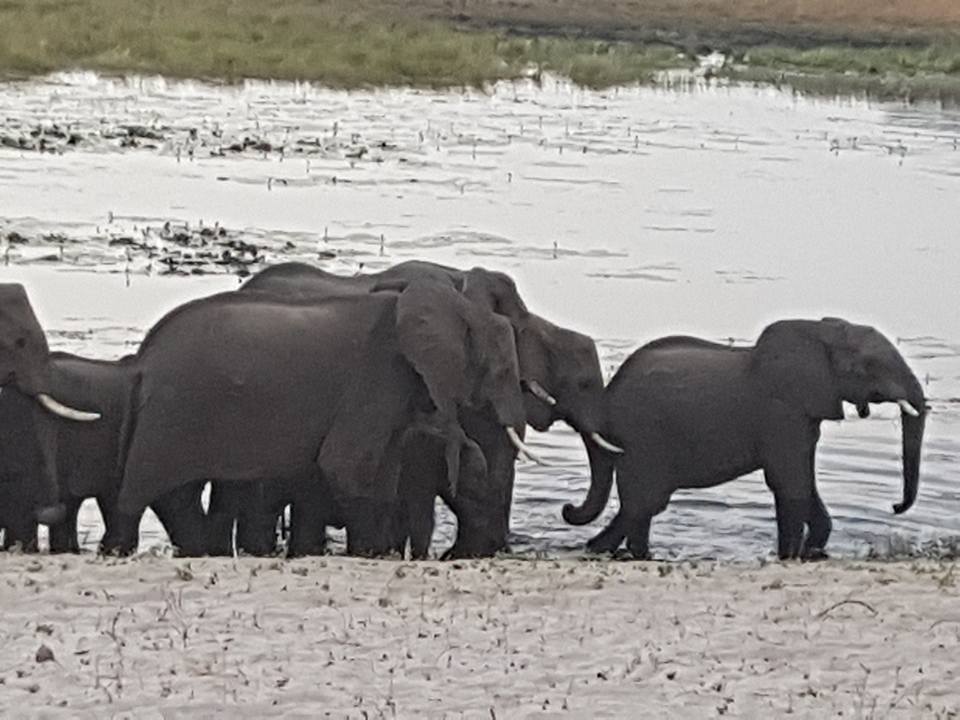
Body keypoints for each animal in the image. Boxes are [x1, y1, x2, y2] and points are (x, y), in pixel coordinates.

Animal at [114, 278, 532, 557]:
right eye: (503, 372)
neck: (457, 306)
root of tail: (143, 360)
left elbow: (383, 475)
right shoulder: (378, 374)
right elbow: (346, 467)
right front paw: (370, 554)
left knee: (176, 498)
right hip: (171, 413)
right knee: (138, 498)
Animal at [562, 318, 927, 561]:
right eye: (871, 365)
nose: (895, 507)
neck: (820, 331)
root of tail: (608, 395)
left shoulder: (802, 414)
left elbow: (804, 483)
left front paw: (809, 550)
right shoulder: (782, 412)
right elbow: (790, 483)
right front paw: (788, 557)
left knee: (641, 507)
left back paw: (598, 548)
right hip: (644, 437)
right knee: (643, 504)